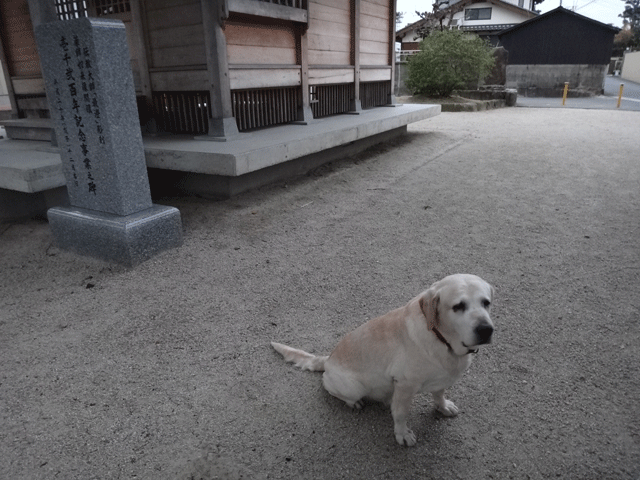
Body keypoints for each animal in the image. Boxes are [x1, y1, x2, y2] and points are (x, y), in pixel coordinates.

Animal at [270, 274, 496, 446]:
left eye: (486, 303)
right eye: (458, 306)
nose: (486, 330)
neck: (441, 339)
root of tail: (328, 359)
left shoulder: (442, 378)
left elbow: (439, 394)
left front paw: (443, 406)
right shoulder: (405, 384)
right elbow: (401, 414)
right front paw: (403, 434)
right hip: (352, 386)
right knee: (331, 388)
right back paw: (354, 402)